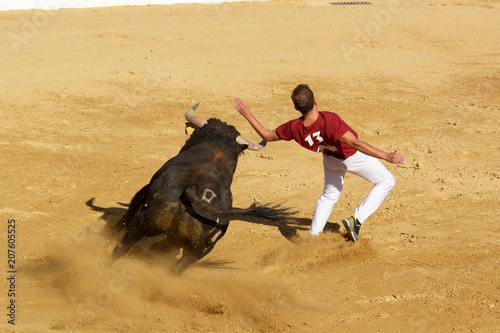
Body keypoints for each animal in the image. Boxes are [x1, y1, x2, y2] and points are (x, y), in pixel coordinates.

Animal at [108, 103, 296, 272]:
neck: (218, 146)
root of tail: (192, 195)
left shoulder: (144, 190)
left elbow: (128, 212)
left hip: (141, 223)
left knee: (122, 246)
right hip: (196, 251)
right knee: (174, 267)